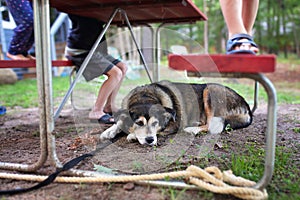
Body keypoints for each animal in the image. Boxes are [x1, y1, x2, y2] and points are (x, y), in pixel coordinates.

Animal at [99, 80, 252, 146]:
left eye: (155, 123)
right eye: (139, 123)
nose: (150, 140)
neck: (144, 96)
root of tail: (246, 105)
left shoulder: (173, 125)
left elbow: (158, 131)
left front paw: (132, 135)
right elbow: (119, 121)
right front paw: (109, 131)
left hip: (210, 89)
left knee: (211, 125)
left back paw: (192, 129)